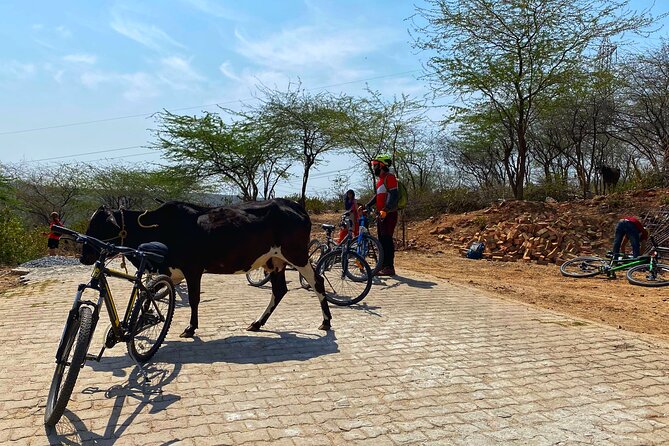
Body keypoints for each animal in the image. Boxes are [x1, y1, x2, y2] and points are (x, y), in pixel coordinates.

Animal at [82, 199, 330, 338]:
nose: (84, 255)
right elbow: (149, 296)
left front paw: (190, 328)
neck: (161, 226)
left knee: (317, 281)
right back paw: (257, 323)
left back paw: (326, 321)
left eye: (100, 225)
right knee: (279, 291)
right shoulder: (171, 271)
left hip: (296, 255)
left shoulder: (193, 269)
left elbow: (193, 299)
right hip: (274, 261)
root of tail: (296, 206)